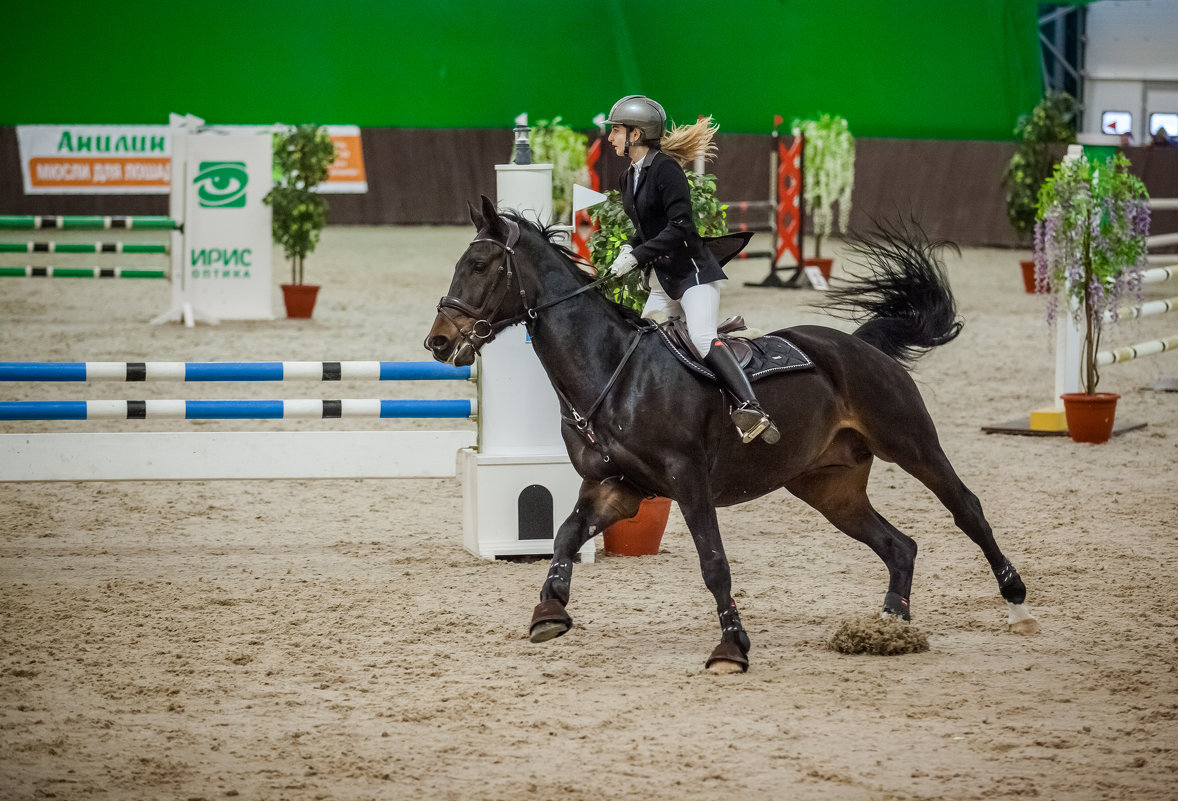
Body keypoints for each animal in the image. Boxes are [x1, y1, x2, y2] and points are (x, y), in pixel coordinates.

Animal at [426, 196, 1041, 673]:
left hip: (910, 444)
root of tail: (859, 344)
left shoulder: (688, 480)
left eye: (479, 264)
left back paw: (1017, 604)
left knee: (966, 509)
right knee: (899, 545)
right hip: (828, 487)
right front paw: (549, 613)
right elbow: (563, 536)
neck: (611, 371)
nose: (438, 341)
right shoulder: (615, 487)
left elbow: (714, 563)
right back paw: (890, 629)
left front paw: (732, 648)